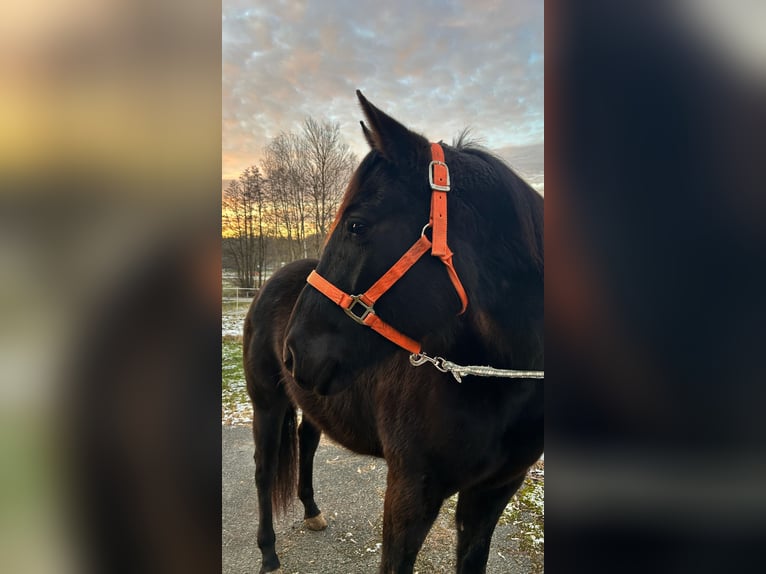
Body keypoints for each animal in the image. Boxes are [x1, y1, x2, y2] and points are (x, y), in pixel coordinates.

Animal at [246, 92, 544, 572]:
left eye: (356, 225)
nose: (294, 352)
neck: (497, 382)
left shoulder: (492, 495)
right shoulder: (409, 494)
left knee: (307, 443)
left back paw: (311, 512)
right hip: (267, 404)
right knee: (263, 471)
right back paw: (269, 553)